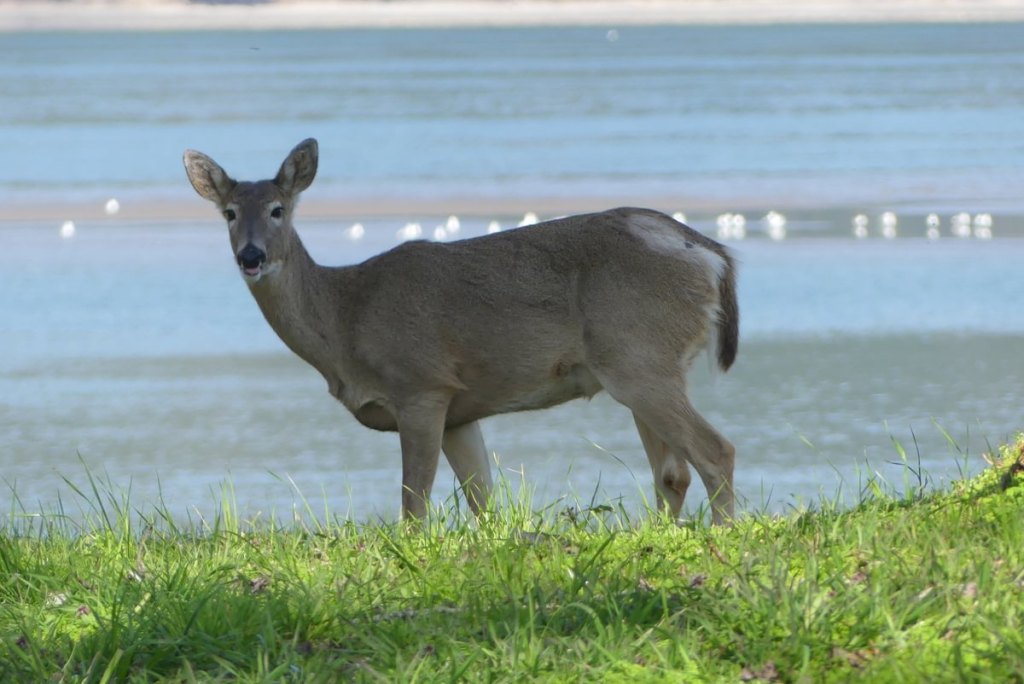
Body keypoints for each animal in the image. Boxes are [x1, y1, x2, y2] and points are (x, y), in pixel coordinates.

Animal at [183, 139, 740, 524]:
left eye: (278, 210)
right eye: (229, 213)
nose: (251, 255)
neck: (345, 318)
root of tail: (711, 254)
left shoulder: (421, 384)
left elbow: (413, 505)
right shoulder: (460, 410)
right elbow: (483, 501)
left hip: (639, 358)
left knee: (716, 452)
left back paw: (722, 536)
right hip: (642, 365)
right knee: (673, 472)